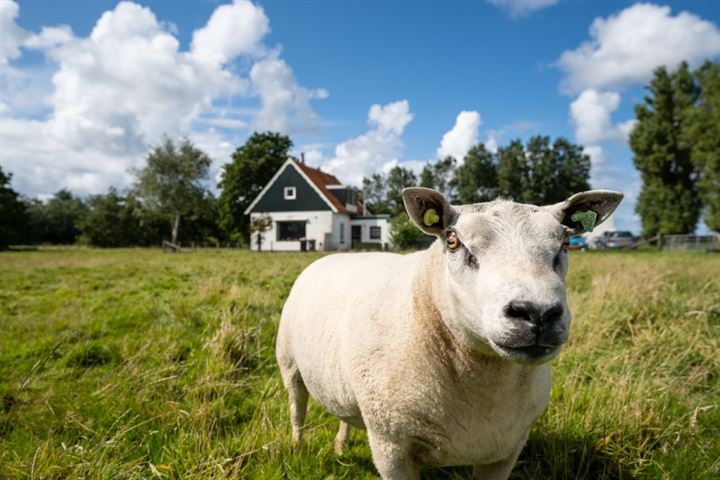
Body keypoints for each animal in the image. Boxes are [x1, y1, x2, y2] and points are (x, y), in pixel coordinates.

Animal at [278, 188, 620, 480]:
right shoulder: (391, 448)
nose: (537, 313)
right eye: (453, 242)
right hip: (289, 364)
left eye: (565, 244)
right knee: (297, 409)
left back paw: (339, 444)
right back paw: (296, 448)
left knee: (342, 414)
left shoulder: (506, 450)